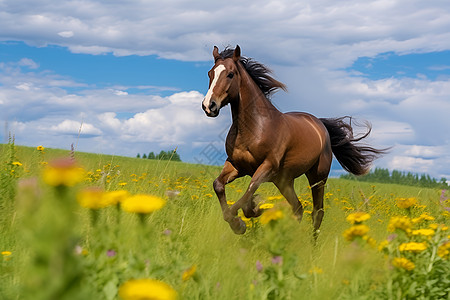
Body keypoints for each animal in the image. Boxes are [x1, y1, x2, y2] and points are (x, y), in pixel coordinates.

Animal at [202, 45, 384, 236]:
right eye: (210, 73)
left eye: (230, 74)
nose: (209, 105)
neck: (254, 127)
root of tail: (320, 125)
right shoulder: (236, 165)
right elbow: (219, 185)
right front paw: (246, 217)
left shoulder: (268, 167)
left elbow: (248, 193)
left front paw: (243, 219)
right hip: (285, 181)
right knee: (298, 208)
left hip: (318, 177)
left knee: (317, 213)